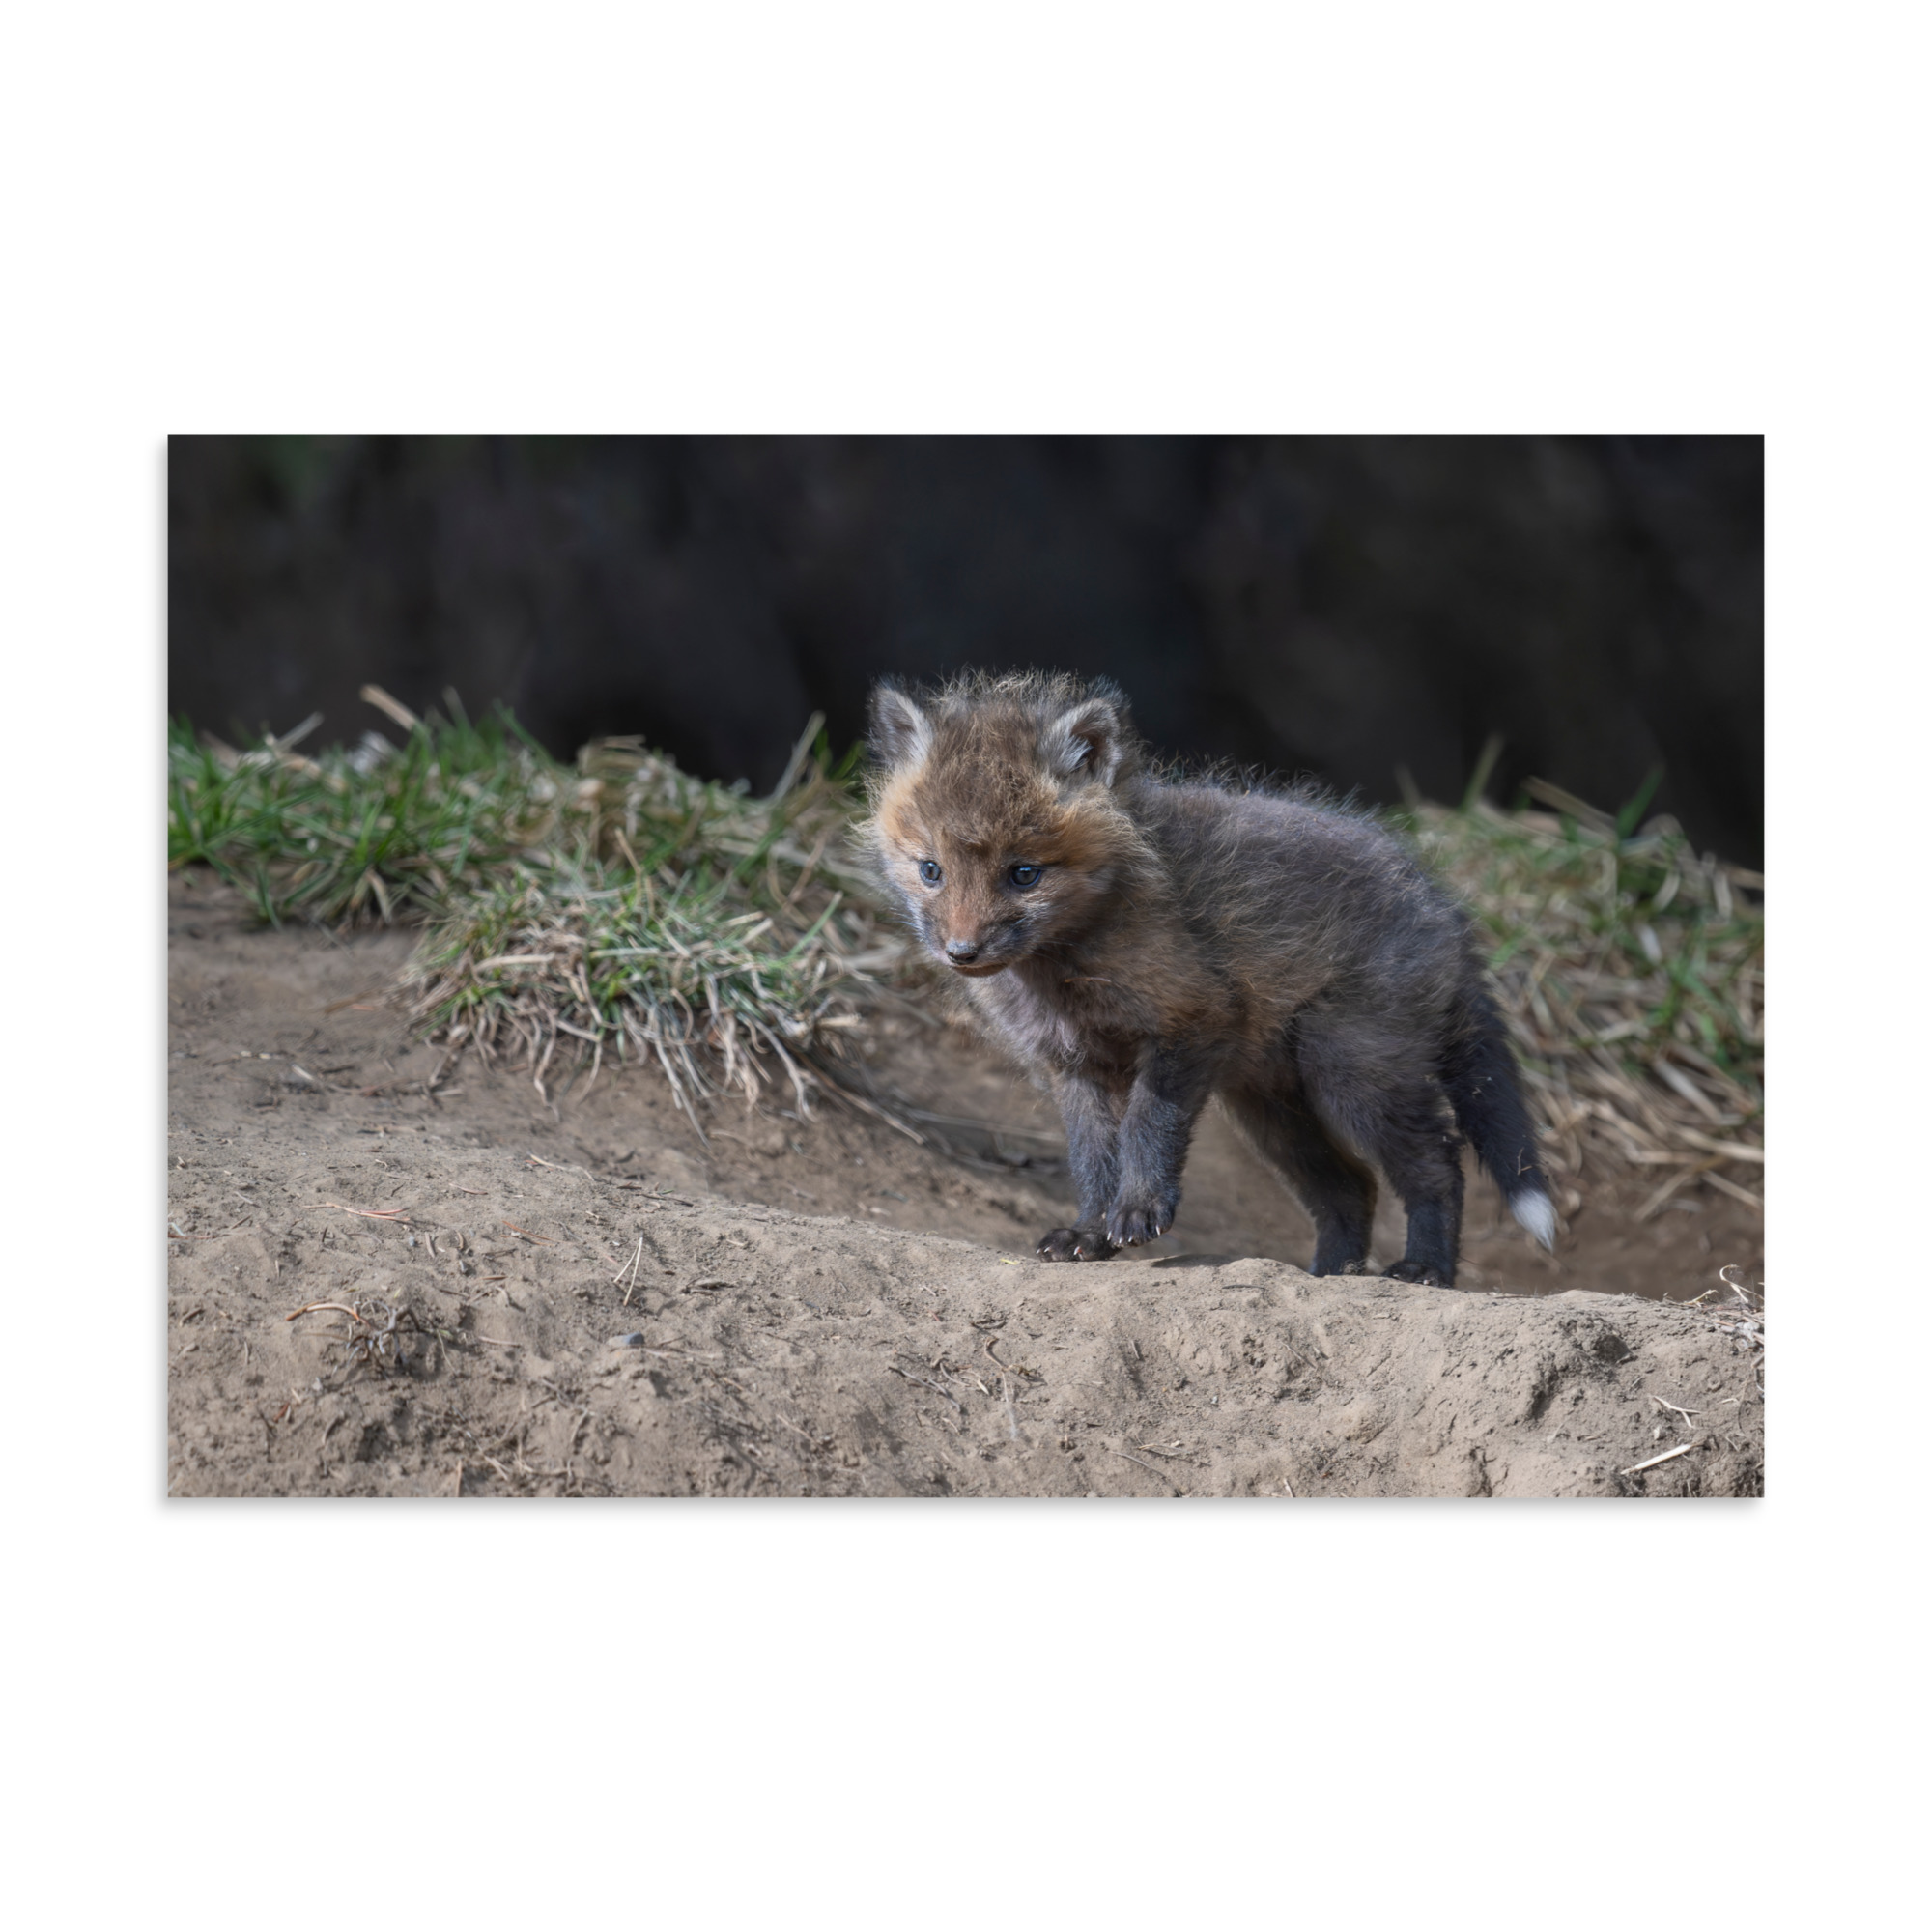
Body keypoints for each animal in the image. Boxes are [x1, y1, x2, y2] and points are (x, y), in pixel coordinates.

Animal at [861, 670, 1556, 1287]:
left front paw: (1139, 1210)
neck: (1066, 971)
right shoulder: (1074, 1064)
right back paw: (1331, 1274)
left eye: (1024, 873)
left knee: (1438, 1165)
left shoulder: (1192, 1020)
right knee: (1351, 1187)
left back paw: (1425, 1269)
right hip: (1272, 1108)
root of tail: (1445, 907)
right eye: (930, 870)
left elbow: (1147, 1126)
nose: (962, 952)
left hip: (1353, 1074)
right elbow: (1092, 1159)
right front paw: (1089, 1232)